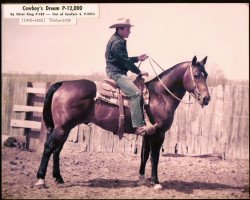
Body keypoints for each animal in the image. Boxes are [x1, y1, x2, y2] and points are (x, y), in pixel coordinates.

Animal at [35, 55, 211, 189]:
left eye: (206, 75)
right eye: (196, 75)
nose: (206, 98)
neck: (160, 96)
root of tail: (62, 83)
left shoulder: (148, 134)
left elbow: (144, 155)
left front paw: (142, 178)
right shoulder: (159, 134)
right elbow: (154, 157)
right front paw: (156, 182)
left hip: (66, 128)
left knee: (57, 150)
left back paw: (58, 178)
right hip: (62, 128)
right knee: (49, 147)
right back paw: (41, 180)